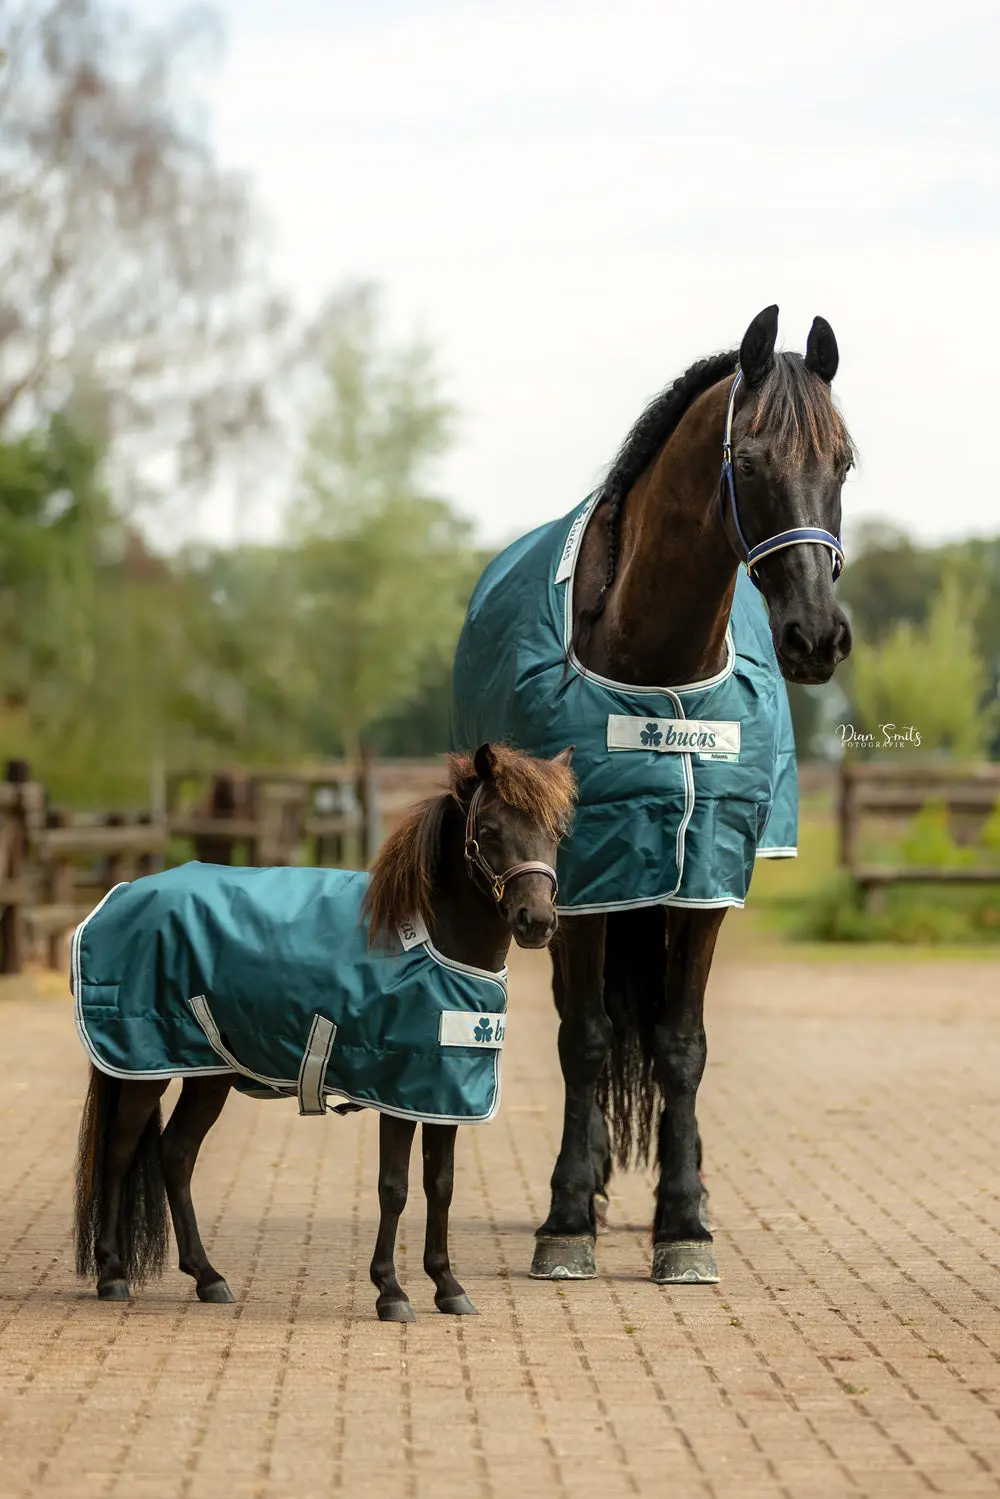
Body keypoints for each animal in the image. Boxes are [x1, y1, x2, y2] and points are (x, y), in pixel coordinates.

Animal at [72, 742, 576, 1321]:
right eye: (490, 829)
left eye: (557, 830)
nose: (536, 920)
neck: (430, 937)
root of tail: (122, 894)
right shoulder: (397, 1089)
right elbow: (395, 1187)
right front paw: (391, 1292)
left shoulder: (444, 1088)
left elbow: (441, 1183)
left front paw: (448, 1287)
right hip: (143, 1067)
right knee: (119, 1152)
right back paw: (112, 1274)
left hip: (208, 1072)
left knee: (175, 1155)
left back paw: (208, 1277)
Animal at [451, 305, 854, 1284]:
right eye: (751, 459)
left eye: (844, 461)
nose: (817, 637)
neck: (660, 672)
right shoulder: (584, 877)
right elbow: (589, 1037)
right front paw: (567, 1217)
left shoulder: (705, 874)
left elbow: (682, 1042)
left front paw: (685, 1221)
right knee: (580, 1024)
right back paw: (590, 1184)